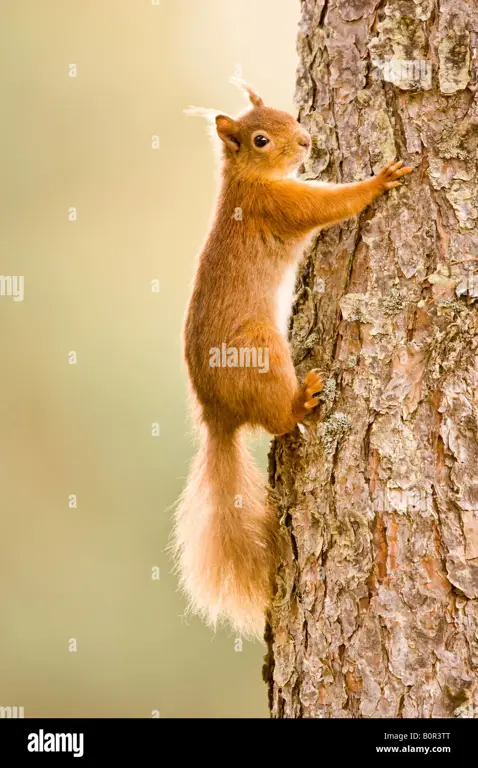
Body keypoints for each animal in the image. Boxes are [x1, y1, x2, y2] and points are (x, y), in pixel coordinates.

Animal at [173, 81, 414, 640]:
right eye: (261, 139)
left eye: (290, 113)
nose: (306, 141)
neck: (247, 179)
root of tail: (216, 415)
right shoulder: (280, 206)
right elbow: (330, 204)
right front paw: (379, 180)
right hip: (261, 350)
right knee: (279, 421)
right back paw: (303, 400)